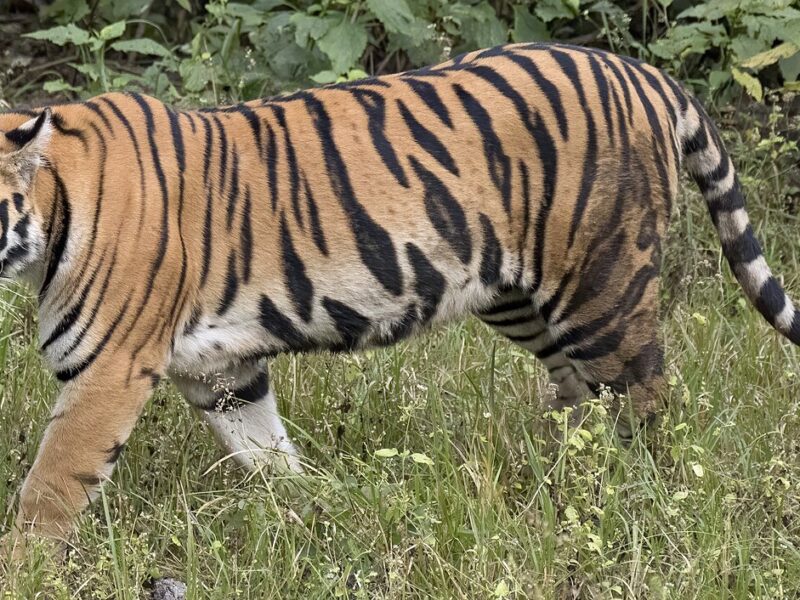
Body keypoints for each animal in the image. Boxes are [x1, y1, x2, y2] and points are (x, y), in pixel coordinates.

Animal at [0, 41, 798, 556]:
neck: (50, 214)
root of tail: (646, 73)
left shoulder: (108, 369)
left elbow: (52, 485)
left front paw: (25, 568)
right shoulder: (221, 370)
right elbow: (266, 451)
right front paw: (307, 513)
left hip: (602, 284)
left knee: (647, 400)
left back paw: (633, 501)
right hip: (517, 296)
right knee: (579, 395)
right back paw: (556, 479)